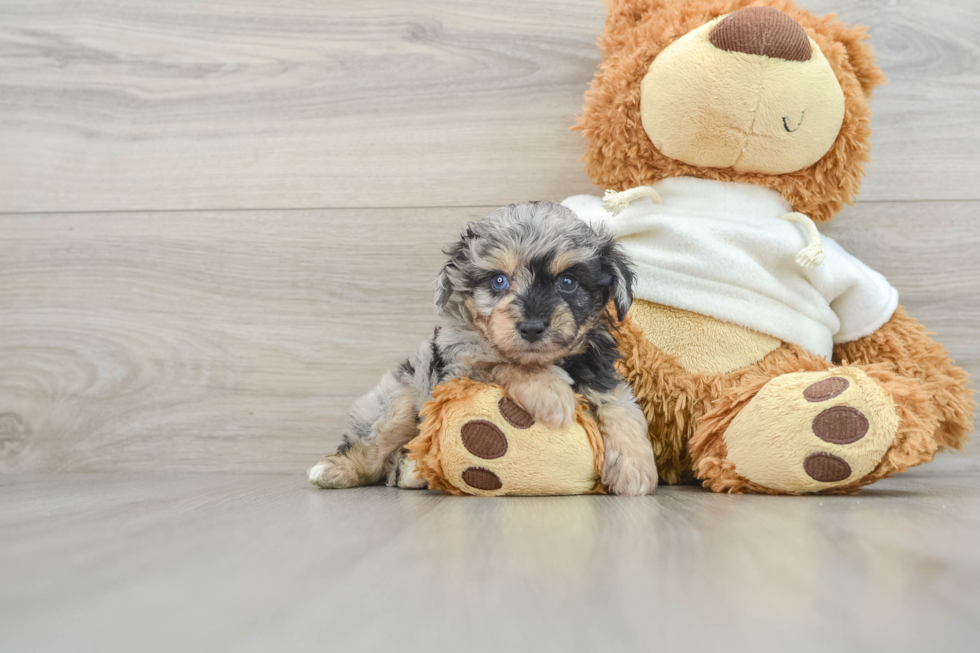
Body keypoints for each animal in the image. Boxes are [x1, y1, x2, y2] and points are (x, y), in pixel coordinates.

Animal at [308, 200, 660, 494]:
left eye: (568, 282)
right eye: (498, 281)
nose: (532, 327)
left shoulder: (599, 367)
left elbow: (621, 404)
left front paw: (635, 465)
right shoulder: (458, 369)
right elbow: (500, 362)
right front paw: (552, 394)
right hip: (397, 400)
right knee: (373, 444)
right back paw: (335, 470)